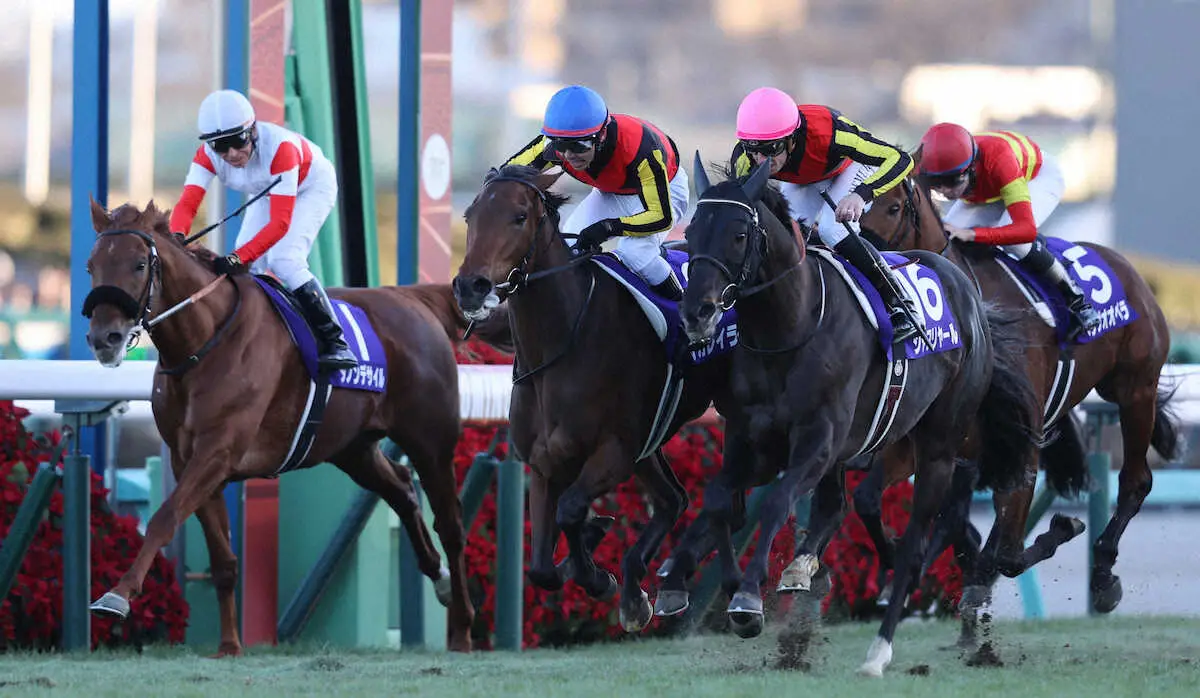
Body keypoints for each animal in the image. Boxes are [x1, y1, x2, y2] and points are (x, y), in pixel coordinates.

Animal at [81, 199, 505, 654]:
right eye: (91, 266)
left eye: (140, 264)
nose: (104, 338)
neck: (203, 343)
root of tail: (412, 298)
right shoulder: (187, 459)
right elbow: (222, 559)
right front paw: (229, 644)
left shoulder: (217, 451)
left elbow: (163, 517)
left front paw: (116, 596)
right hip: (353, 448)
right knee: (402, 488)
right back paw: (438, 576)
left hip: (431, 441)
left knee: (451, 524)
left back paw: (462, 626)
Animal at [451, 165, 734, 632]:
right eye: (470, 215)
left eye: (519, 217)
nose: (470, 286)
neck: (563, 342)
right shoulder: (544, 462)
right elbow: (540, 568)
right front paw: (596, 565)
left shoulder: (614, 451)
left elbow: (570, 511)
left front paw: (597, 572)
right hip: (648, 444)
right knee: (672, 499)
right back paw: (641, 589)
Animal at [667, 155, 1040, 676]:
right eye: (693, 232)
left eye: (739, 234)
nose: (697, 313)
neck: (788, 328)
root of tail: (966, 289)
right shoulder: (751, 440)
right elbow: (722, 500)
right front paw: (727, 586)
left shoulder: (818, 440)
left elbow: (778, 501)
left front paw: (747, 598)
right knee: (838, 507)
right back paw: (807, 573)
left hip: (938, 449)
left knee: (912, 549)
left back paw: (878, 650)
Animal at [858, 161, 1180, 618]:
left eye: (893, 207)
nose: (866, 261)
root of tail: (1129, 268)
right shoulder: (936, 439)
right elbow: (874, 499)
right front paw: (903, 573)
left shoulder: (1018, 435)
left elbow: (1006, 546)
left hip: (1136, 390)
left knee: (1136, 481)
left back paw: (1102, 575)